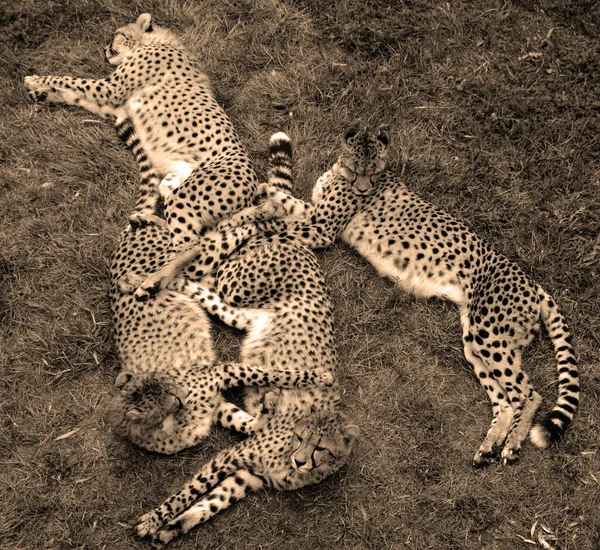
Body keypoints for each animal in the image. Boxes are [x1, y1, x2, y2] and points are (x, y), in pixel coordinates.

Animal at [24, 12, 255, 233]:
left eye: (117, 34)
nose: (105, 48)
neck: (153, 41)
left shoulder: (111, 90)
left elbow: (69, 80)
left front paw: (35, 80)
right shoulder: (114, 106)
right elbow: (73, 94)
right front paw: (43, 93)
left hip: (189, 194)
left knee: (187, 240)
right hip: (174, 184)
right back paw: (144, 220)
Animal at [106, 122, 330, 458]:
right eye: (169, 398)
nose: (181, 396)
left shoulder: (218, 374)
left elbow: (275, 375)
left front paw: (311, 380)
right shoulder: (216, 394)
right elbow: (245, 421)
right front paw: (264, 422)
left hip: (210, 252)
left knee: (203, 240)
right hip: (220, 272)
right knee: (216, 241)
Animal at [132, 133, 358, 548]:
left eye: (320, 448)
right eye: (300, 438)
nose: (300, 460)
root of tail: (303, 247)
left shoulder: (247, 476)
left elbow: (207, 505)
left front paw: (171, 529)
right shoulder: (237, 455)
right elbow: (187, 492)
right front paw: (154, 519)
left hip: (242, 309)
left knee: (209, 265)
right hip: (239, 280)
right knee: (210, 244)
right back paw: (153, 269)